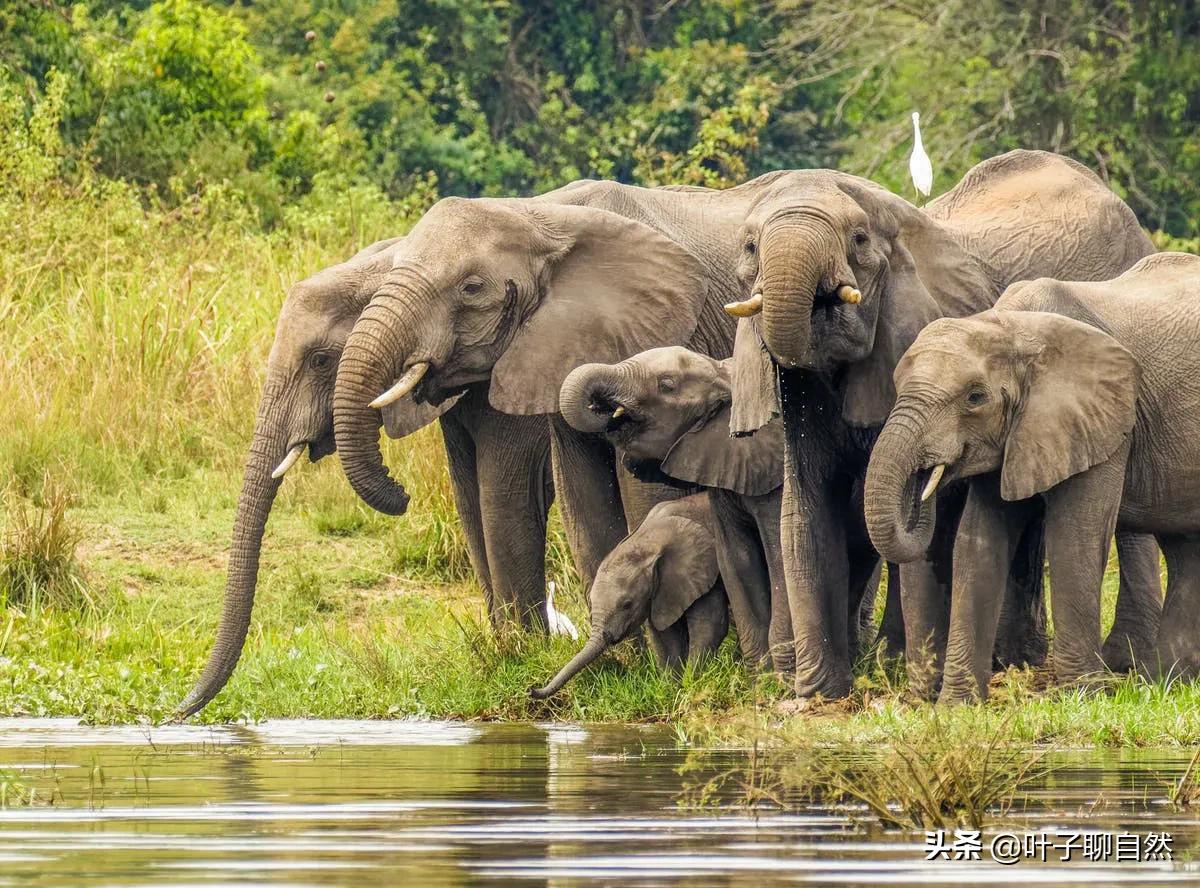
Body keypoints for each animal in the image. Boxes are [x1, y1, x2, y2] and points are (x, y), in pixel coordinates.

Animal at [175, 236, 555, 718]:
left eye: (321, 361)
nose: (176, 712)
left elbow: (502, 497)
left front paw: (525, 658)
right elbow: (470, 501)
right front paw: (508, 652)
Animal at [530, 494, 729, 698]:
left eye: (627, 604)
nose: (532, 689)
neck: (647, 541)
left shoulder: (705, 569)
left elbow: (709, 626)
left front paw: (691, 686)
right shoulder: (660, 592)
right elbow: (665, 635)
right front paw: (671, 689)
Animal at [559, 345, 895, 672]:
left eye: (666, 384)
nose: (602, 410)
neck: (725, 374)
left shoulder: (777, 472)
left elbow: (779, 554)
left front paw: (782, 672)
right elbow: (737, 557)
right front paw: (761, 674)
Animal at [723, 149, 1162, 699]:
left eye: (859, 239)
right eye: (749, 246)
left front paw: (914, 686)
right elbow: (806, 512)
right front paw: (817, 695)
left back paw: (1121, 661)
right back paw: (1014, 659)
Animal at [865, 251, 1198, 701]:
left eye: (975, 397)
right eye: (897, 387)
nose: (927, 477)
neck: (1011, 327)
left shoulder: (1102, 423)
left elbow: (1074, 537)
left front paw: (1081, 697)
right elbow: (978, 542)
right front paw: (957, 705)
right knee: (1185, 549)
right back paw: (1165, 683)